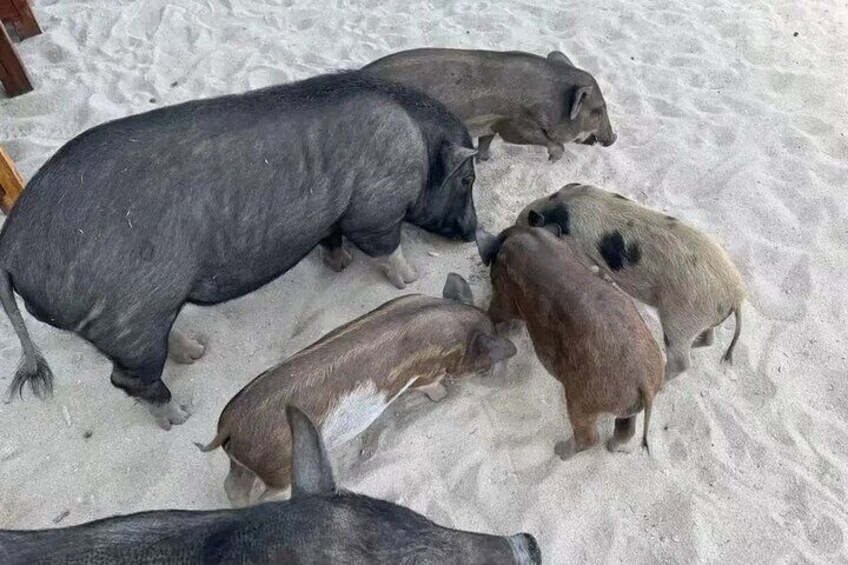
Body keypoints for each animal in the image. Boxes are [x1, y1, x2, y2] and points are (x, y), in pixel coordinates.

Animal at [0, 71, 480, 430]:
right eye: (468, 178)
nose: (474, 231)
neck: (419, 147)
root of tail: (10, 245)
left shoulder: (334, 215)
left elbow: (332, 239)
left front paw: (340, 265)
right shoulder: (375, 207)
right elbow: (387, 248)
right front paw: (412, 277)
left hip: (142, 313)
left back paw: (196, 352)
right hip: (125, 317)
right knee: (128, 380)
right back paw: (181, 415)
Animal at [196, 273, 517, 507]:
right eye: (483, 362)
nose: (494, 372)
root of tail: (230, 425)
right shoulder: (425, 372)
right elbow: (431, 385)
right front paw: (443, 397)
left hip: (241, 460)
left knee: (232, 487)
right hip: (279, 467)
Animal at [362, 48, 617, 162]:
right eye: (598, 110)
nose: (614, 138)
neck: (551, 101)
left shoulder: (491, 125)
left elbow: (486, 140)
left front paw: (481, 159)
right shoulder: (513, 125)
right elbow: (545, 141)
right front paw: (553, 159)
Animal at [476, 225, 664, 458]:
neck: (524, 234)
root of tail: (644, 380)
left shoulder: (503, 295)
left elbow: (493, 313)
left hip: (582, 398)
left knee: (588, 436)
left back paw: (560, 451)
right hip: (626, 403)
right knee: (626, 427)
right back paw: (612, 447)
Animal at [516, 183, 745, 379]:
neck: (561, 208)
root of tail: (736, 296)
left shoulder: (579, 251)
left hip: (682, 319)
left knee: (682, 362)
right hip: (702, 318)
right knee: (709, 339)